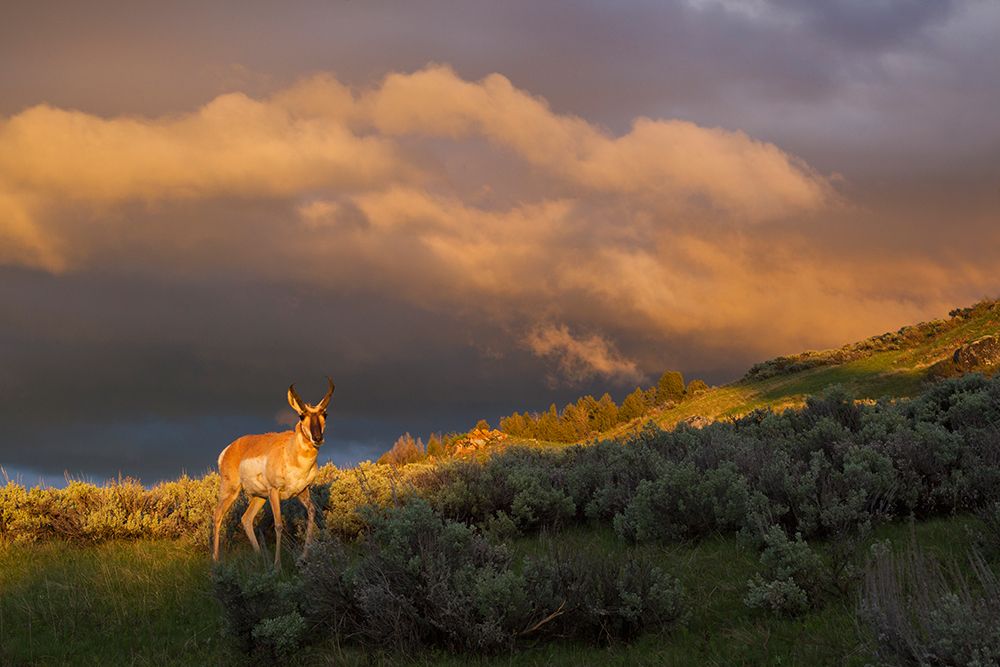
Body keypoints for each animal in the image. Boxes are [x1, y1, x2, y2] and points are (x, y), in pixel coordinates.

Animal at [212, 376, 334, 568]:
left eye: (325, 415)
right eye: (301, 415)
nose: (317, 438)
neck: (289, 452)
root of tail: (231, 448)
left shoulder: (302, 491)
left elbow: (313, 513)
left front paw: (303, 558)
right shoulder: (275, 492)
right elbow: (278, 524)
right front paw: (278, 566)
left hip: (259, 497)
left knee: (246, 519)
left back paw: (261, 557)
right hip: (231, 491)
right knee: (218, 516)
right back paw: (216, 562)